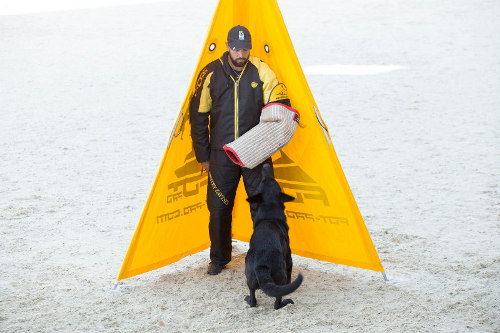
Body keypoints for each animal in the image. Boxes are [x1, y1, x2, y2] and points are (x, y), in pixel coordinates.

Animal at [244, 163, 302, 308]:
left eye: (266, 180)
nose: (265, 165)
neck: (269, 208)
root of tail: (261, 266)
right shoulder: (288, 257)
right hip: (280, 274)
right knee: (277, 302)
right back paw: (285, 302)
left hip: (249, 277)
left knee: (253, 300)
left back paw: (248, 299)